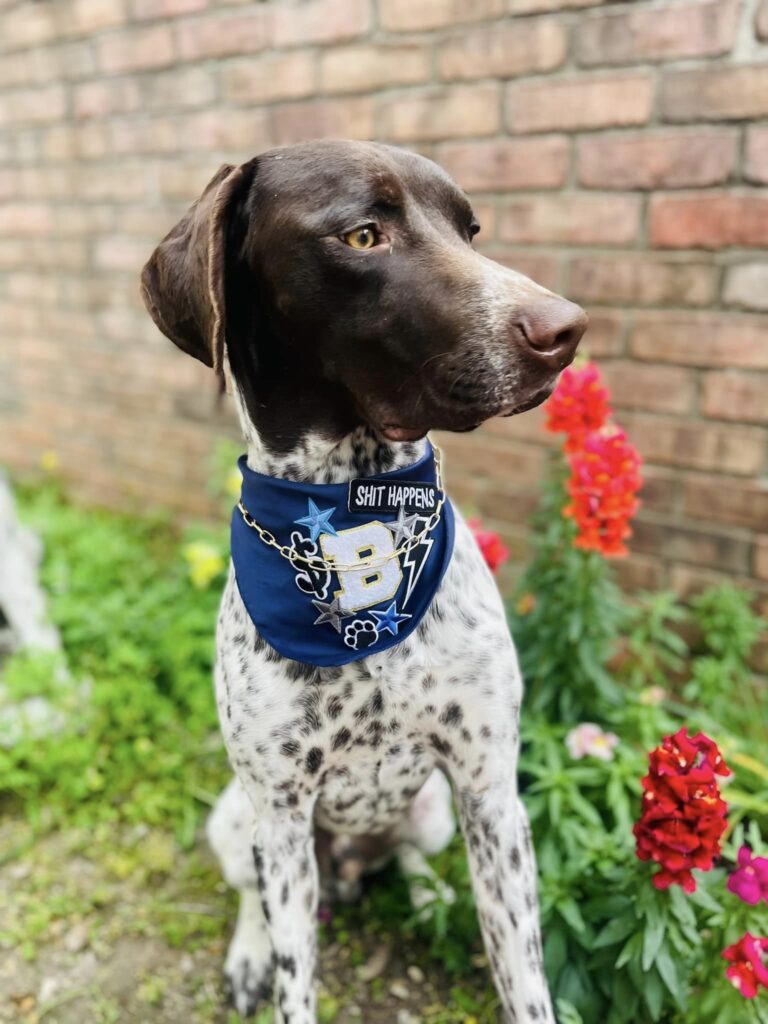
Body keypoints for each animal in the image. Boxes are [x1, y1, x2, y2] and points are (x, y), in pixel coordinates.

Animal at [143, 138, 589, 1024]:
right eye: (361, 236)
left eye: (470, 229)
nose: (567, 329)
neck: (358, 525)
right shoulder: (280, 817)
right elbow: (295, 981)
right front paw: (265, 965)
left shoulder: (491, 791)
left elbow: (524, 982)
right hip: (240, 822)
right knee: (253, 898)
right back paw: (248, 954)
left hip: (437, 814)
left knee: (413, 859)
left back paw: (426, 898)